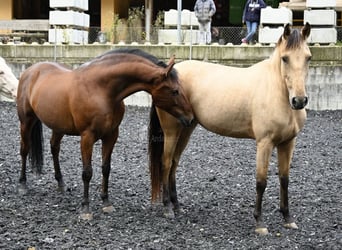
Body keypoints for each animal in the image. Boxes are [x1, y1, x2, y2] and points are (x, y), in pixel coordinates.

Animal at [16, 49, 192, 221]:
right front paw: (85, 209)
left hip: (58, 126)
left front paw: (106, 202)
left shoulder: (111, 135)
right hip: (26, 121)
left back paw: (60, 183)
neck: (100, 89)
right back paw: (22, 184)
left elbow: (106, 168)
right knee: (24, 150)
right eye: (175, 91)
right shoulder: (87, 137)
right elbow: (87, 172)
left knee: (54, 148)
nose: (190, 118)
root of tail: (30, 70)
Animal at [148, 23, 312, 234]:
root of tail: (167, 74)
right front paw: (259, 223)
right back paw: (168, 208)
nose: (299, 101)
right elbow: (261, 182)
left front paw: (287, 218)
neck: (277, 90)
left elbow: (284, 179)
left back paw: (177, 206)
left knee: (174, 164)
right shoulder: (265, 143)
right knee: (166, 163)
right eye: (285, 58)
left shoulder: (288, 143)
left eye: (308, 57)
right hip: (171, 131)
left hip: (186, 129)